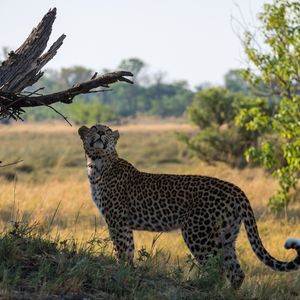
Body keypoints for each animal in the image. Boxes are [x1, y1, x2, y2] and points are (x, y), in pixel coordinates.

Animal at [78, 123, 300, 288]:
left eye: (107, 130)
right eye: (95, 128)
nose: (100, 133)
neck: (96, 164)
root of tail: (237, 189)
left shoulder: (116, 220)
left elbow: (121, 248)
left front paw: (121, 270)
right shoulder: (121, 222)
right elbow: (129, 248)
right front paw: (128, 270)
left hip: (196, 233)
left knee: (216, 268)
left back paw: (203, 286)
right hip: (226, 236)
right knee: (235, 271)